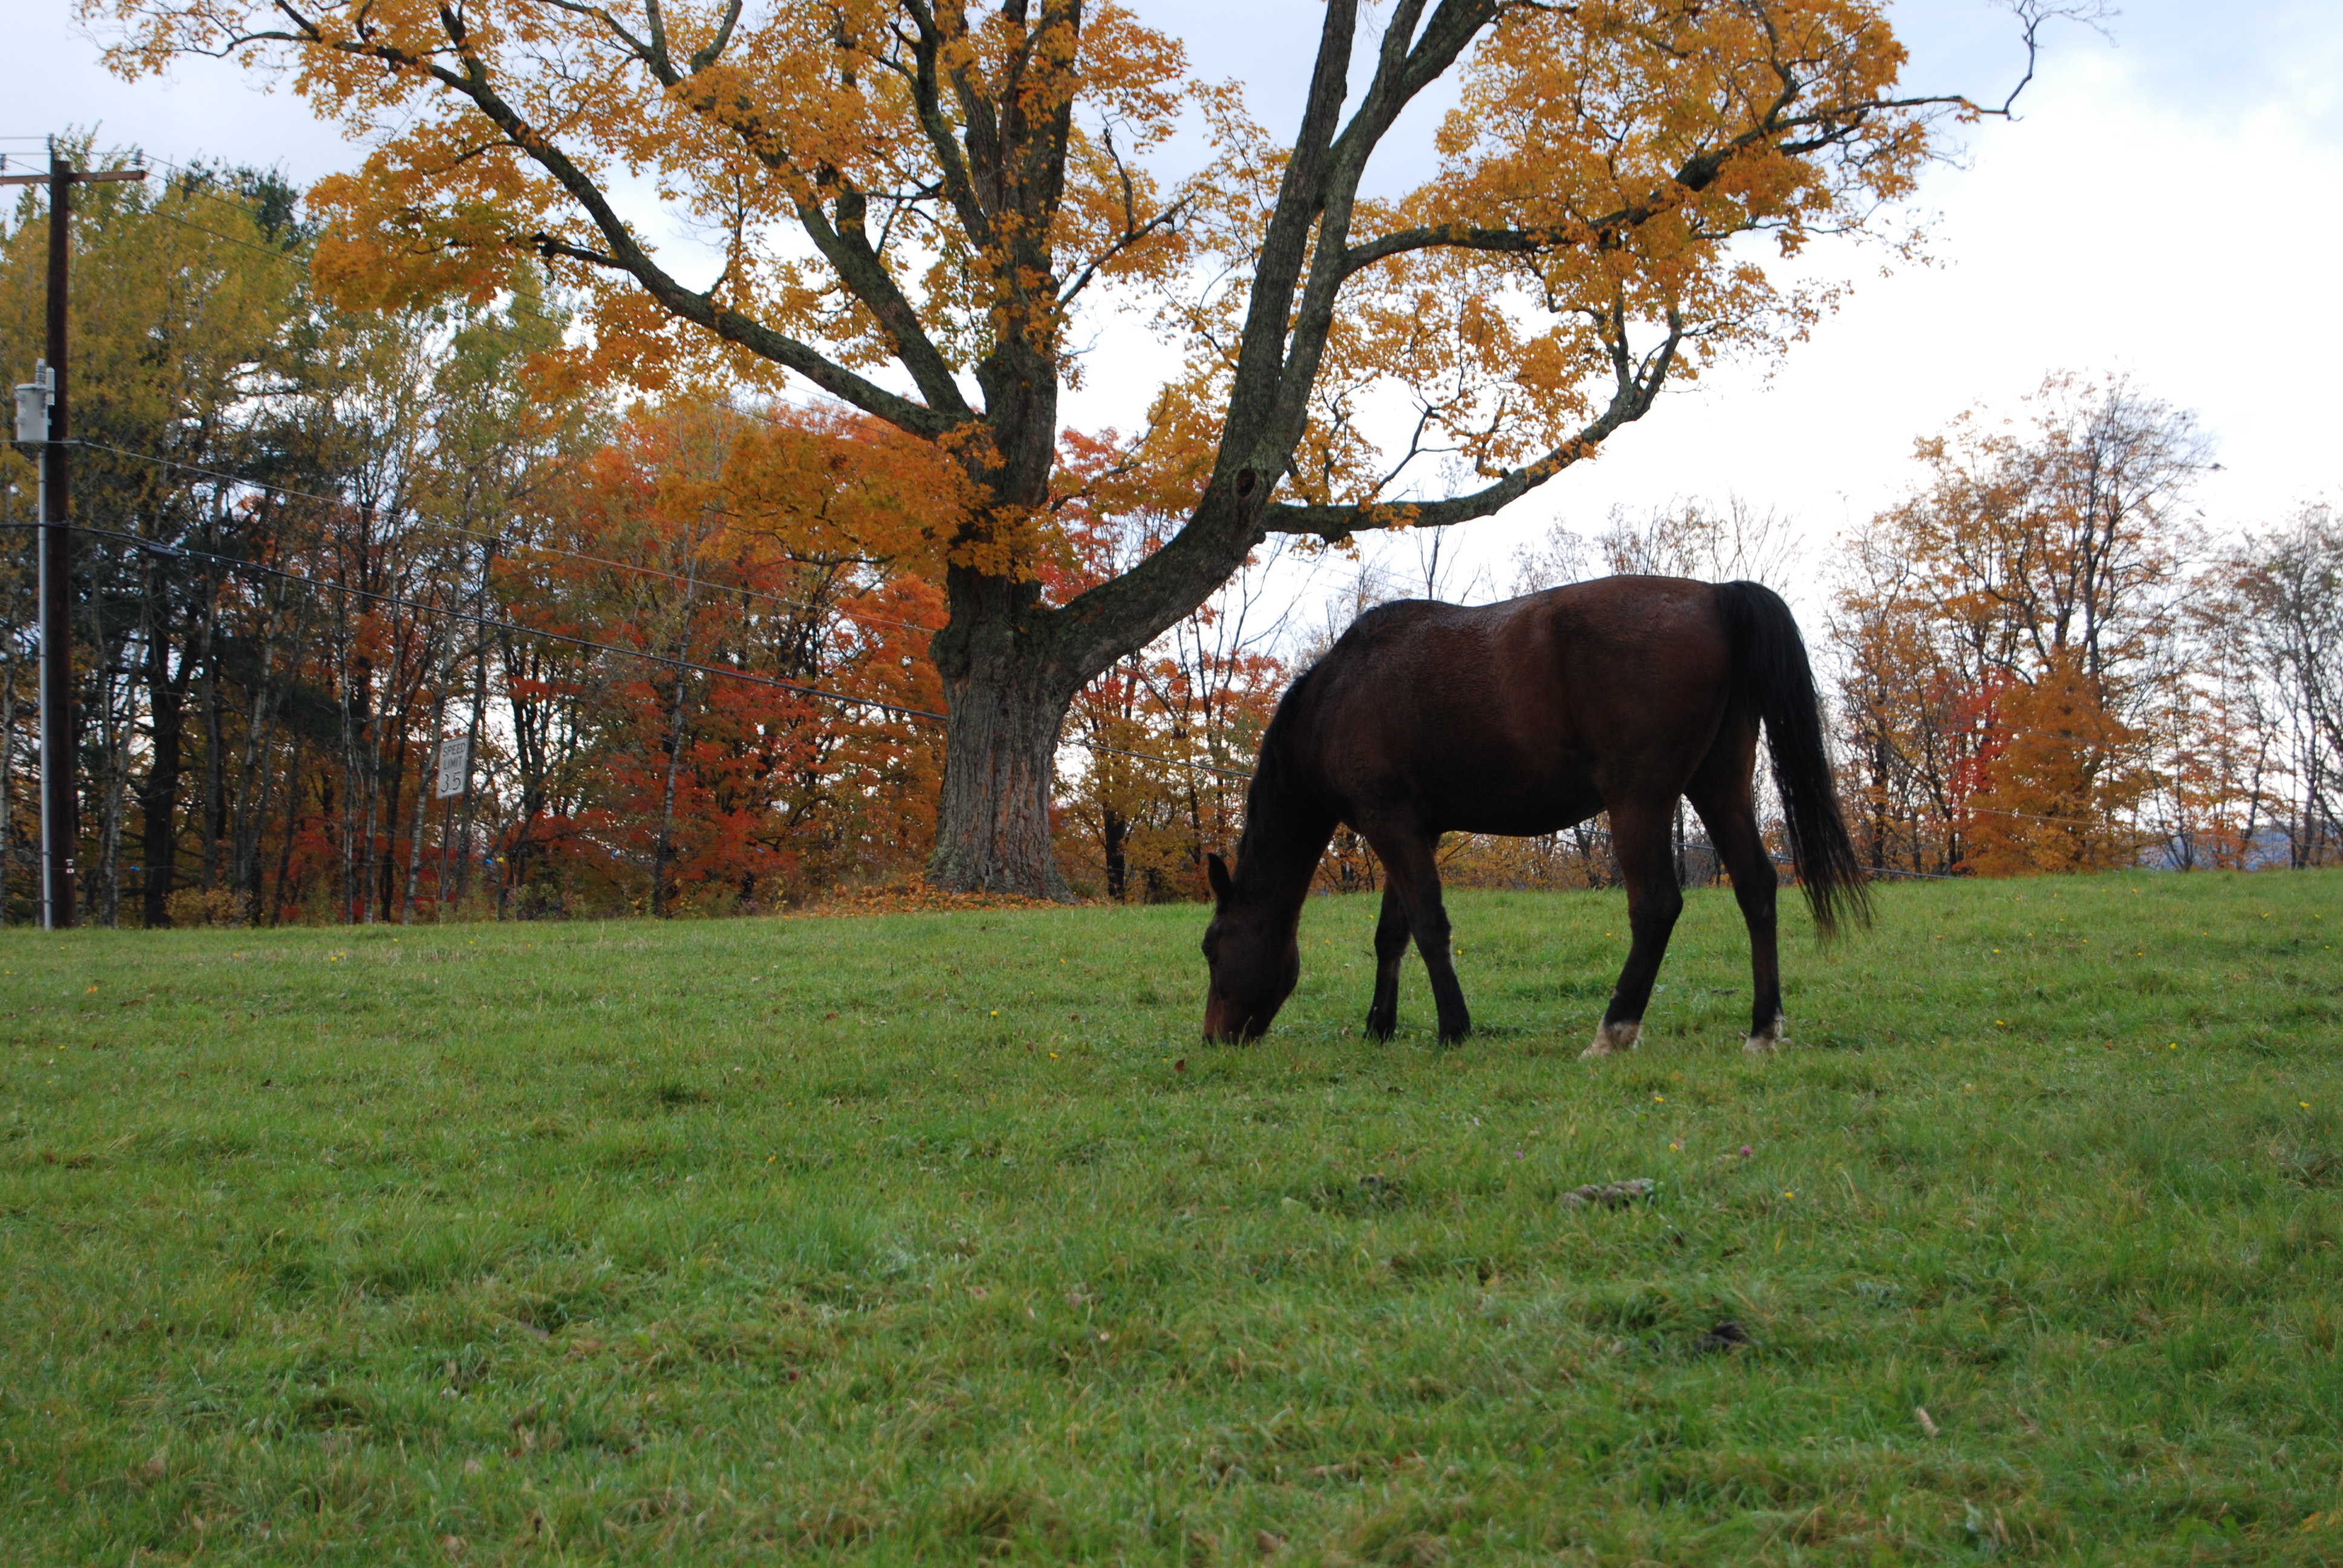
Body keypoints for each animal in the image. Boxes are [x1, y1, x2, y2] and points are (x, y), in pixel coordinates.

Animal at [1199, 575, 1868, 1055]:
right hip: (1720, 786)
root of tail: (1713, 595)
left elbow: (1428, 928)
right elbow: (1393, 934)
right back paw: (1762, 1030)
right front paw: (1378, 1027)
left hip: (1639, 800)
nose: (1212, 1040)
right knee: (1757, 888)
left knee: (1656, 906)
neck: (1335, 698)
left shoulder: (1390, 825)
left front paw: (1453, 1028)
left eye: (1210, 947)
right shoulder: (1410, 828)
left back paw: (1613, 1031)